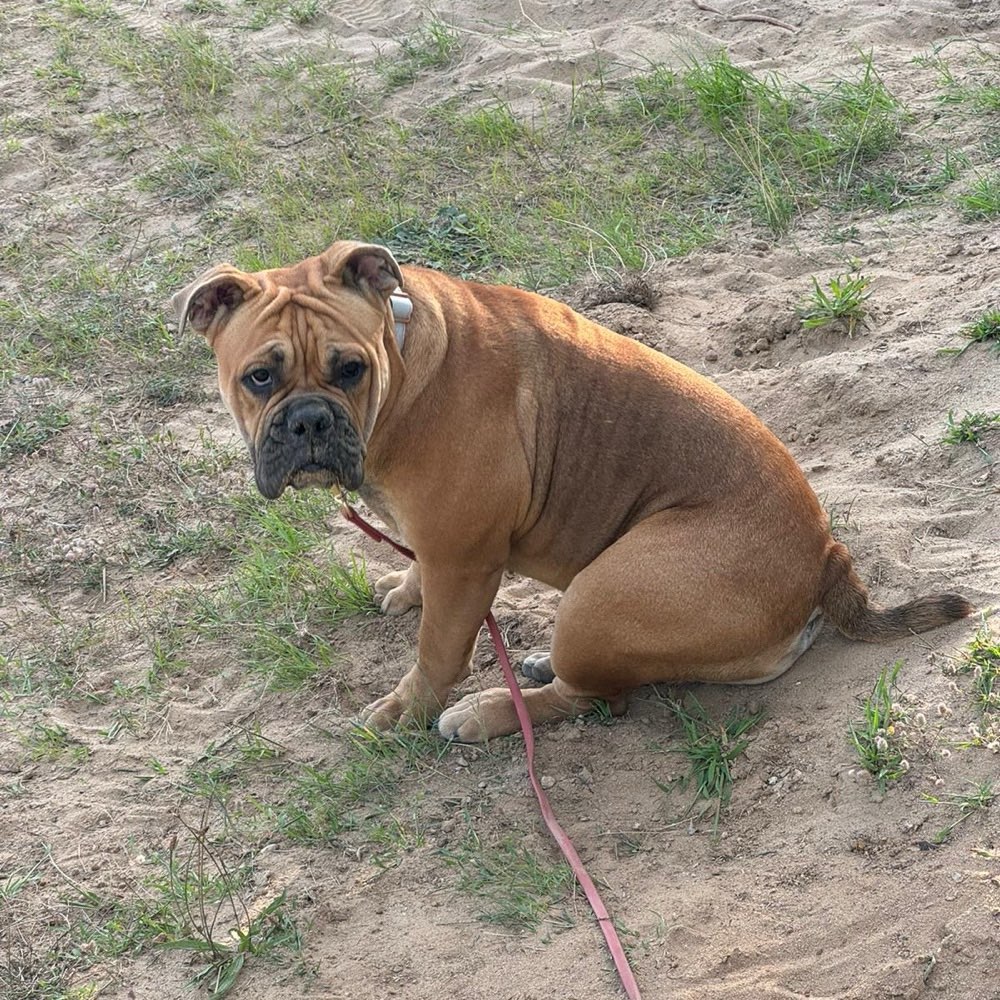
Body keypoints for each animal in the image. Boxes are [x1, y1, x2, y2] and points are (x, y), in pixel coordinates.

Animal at [176, 242, 972, 744]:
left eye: (350, 369)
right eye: (259, 377)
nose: (309, 420)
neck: (403, 368)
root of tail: (827, 558)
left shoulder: (464, 563)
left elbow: (437, 653)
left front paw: (405, 710)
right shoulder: (440, 550)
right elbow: (419, 581)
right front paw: (404, 589)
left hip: (601, 593)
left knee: (597, 699)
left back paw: (492, 711)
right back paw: (532, 665)